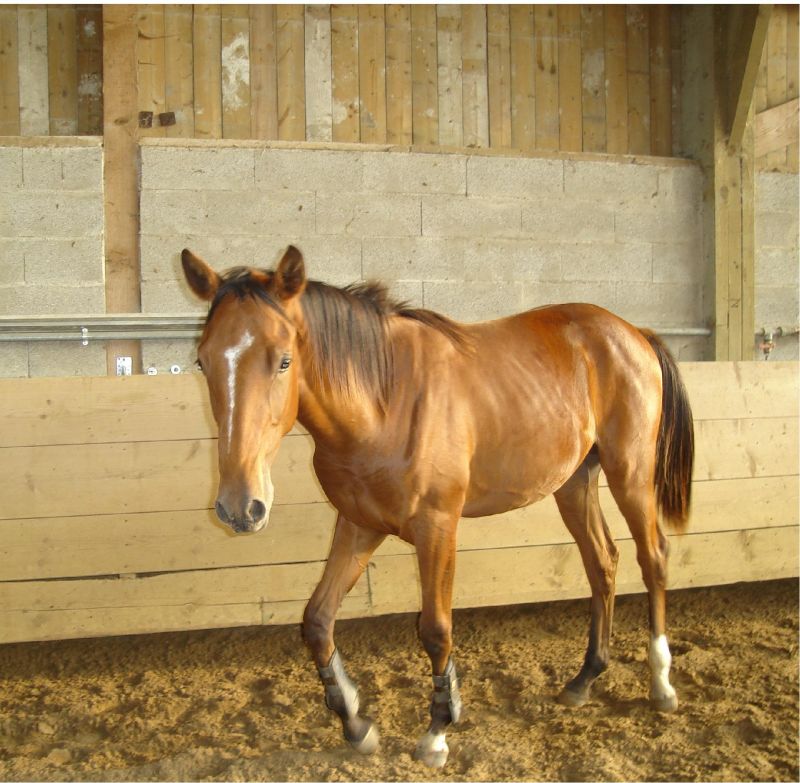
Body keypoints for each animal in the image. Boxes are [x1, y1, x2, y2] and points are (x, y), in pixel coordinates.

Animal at [181, 244, 694, 769]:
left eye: (284, 361)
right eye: (203, 361)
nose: (240, 507)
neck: (384, 400)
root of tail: (633, 333)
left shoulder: (437, 527)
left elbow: (435, 629)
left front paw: (438, 730)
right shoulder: (358, 525)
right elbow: (318, 621)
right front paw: (355, 721)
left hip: (630, 474)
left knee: (653, 557)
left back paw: (661, 683)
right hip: (574, 484)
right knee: (602, 563)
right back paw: (585, 678)